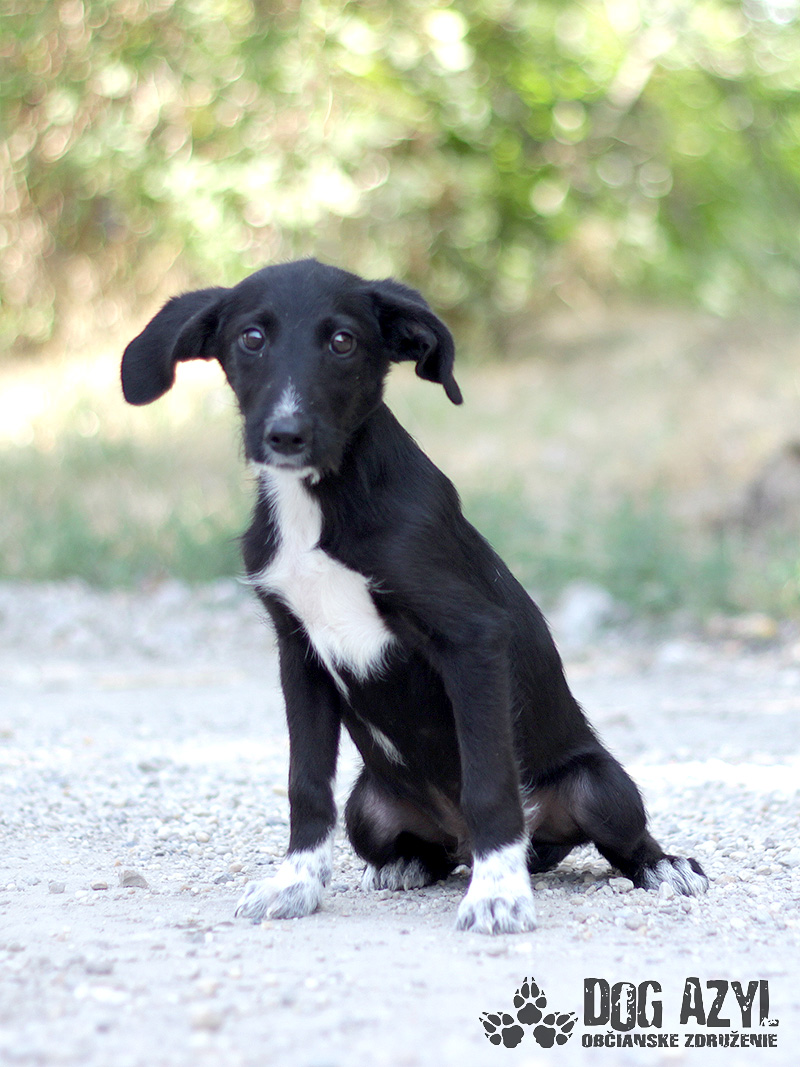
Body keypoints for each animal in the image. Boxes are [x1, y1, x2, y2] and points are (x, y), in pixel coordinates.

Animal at [121, 258, 708, 934]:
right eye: (251, 338)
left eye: (343, 341)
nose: (286, 435)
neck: (321, 502)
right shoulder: (298, 653)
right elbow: (305, 786)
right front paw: (295, 884)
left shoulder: (472, 640)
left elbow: (490, 784)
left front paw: (498, 894)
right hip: (369, 806)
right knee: (421, 846)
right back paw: (406, 865)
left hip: (600, 785)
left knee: (615, 834)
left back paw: (662, 867)